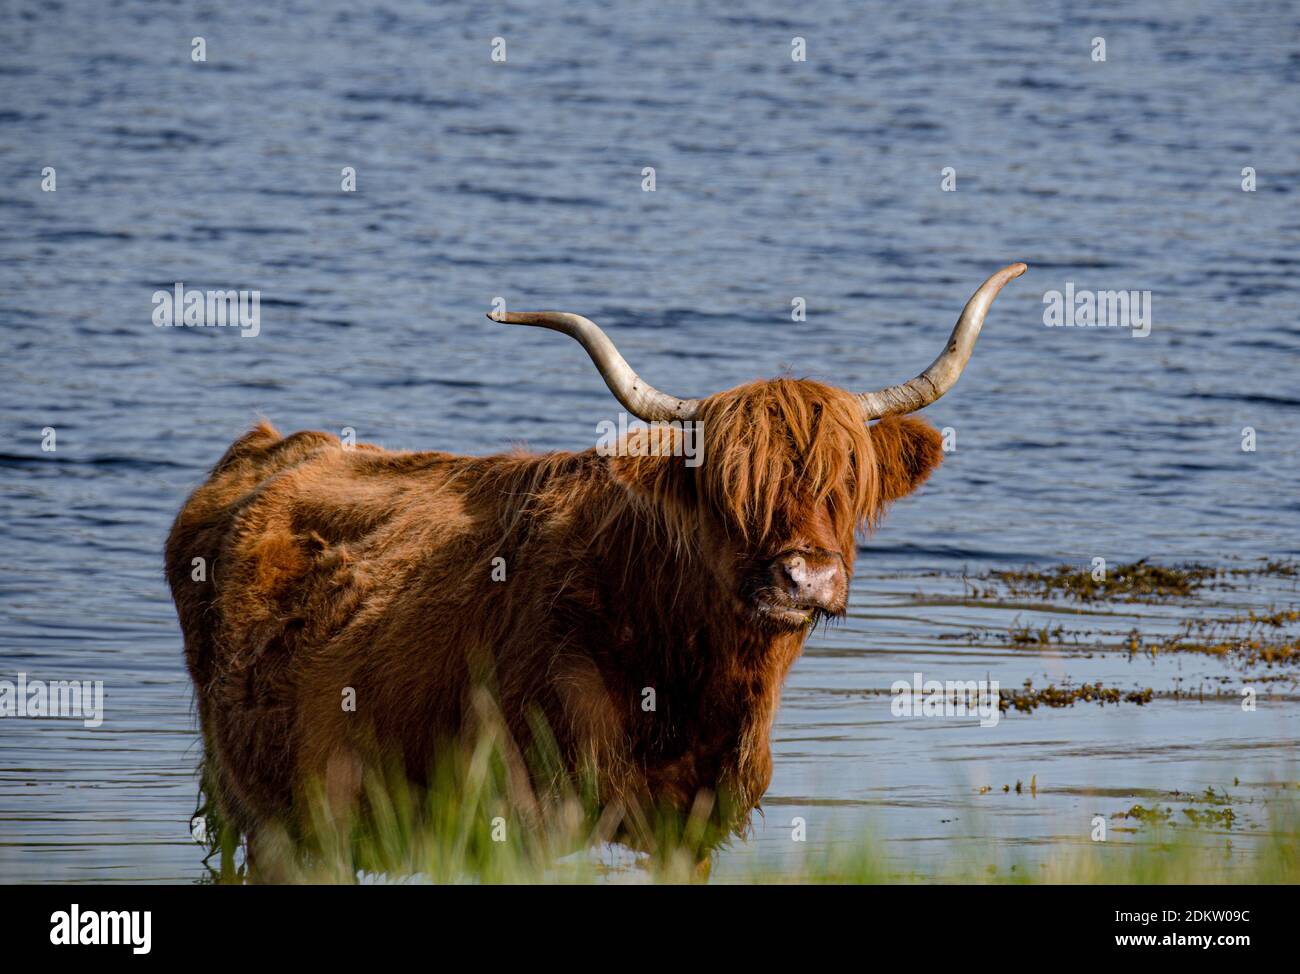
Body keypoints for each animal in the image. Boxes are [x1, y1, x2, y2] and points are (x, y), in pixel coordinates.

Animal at [165, 263, 1026, 876]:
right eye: (728, 491)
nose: (804, 577)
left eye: (846, 485)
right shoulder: (515, 822)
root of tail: (272, 448)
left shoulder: (690, 829)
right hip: (277, 818)